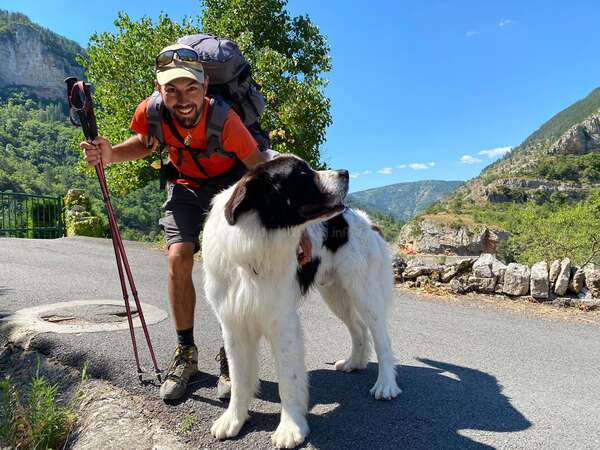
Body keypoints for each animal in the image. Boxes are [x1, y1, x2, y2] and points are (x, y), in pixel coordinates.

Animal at [202, 154, 404, 446]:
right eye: (301, 174)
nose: (345, 172)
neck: (255, 240)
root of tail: (366, 220)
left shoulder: (282, 322)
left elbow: (288, 378)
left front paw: (290, 428)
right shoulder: (233, 322)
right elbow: (239, 378)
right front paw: (234, 420)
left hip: (363, 291)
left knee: (382, 339)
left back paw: (386, 384)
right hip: (335, 294)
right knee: (358, 329)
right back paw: (354, 362)